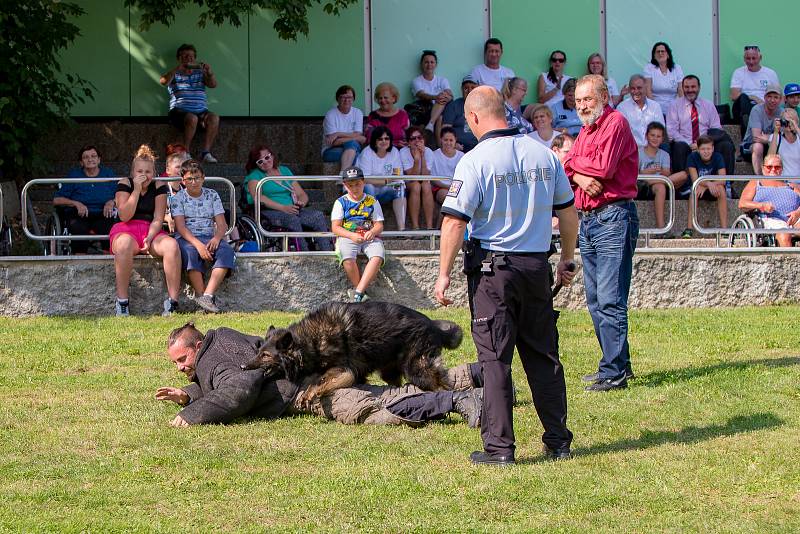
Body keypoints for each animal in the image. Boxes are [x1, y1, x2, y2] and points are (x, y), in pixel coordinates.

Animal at [241, 302, 460, 406]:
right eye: (259, 352)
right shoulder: (355, 373)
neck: (309, 341)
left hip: (417, 368)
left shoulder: (343, 369)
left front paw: (311, 393)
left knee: (442, 385)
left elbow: (318, 382)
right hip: (389, 371)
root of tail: (433, 326)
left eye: (266, 355)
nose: (243, 366)